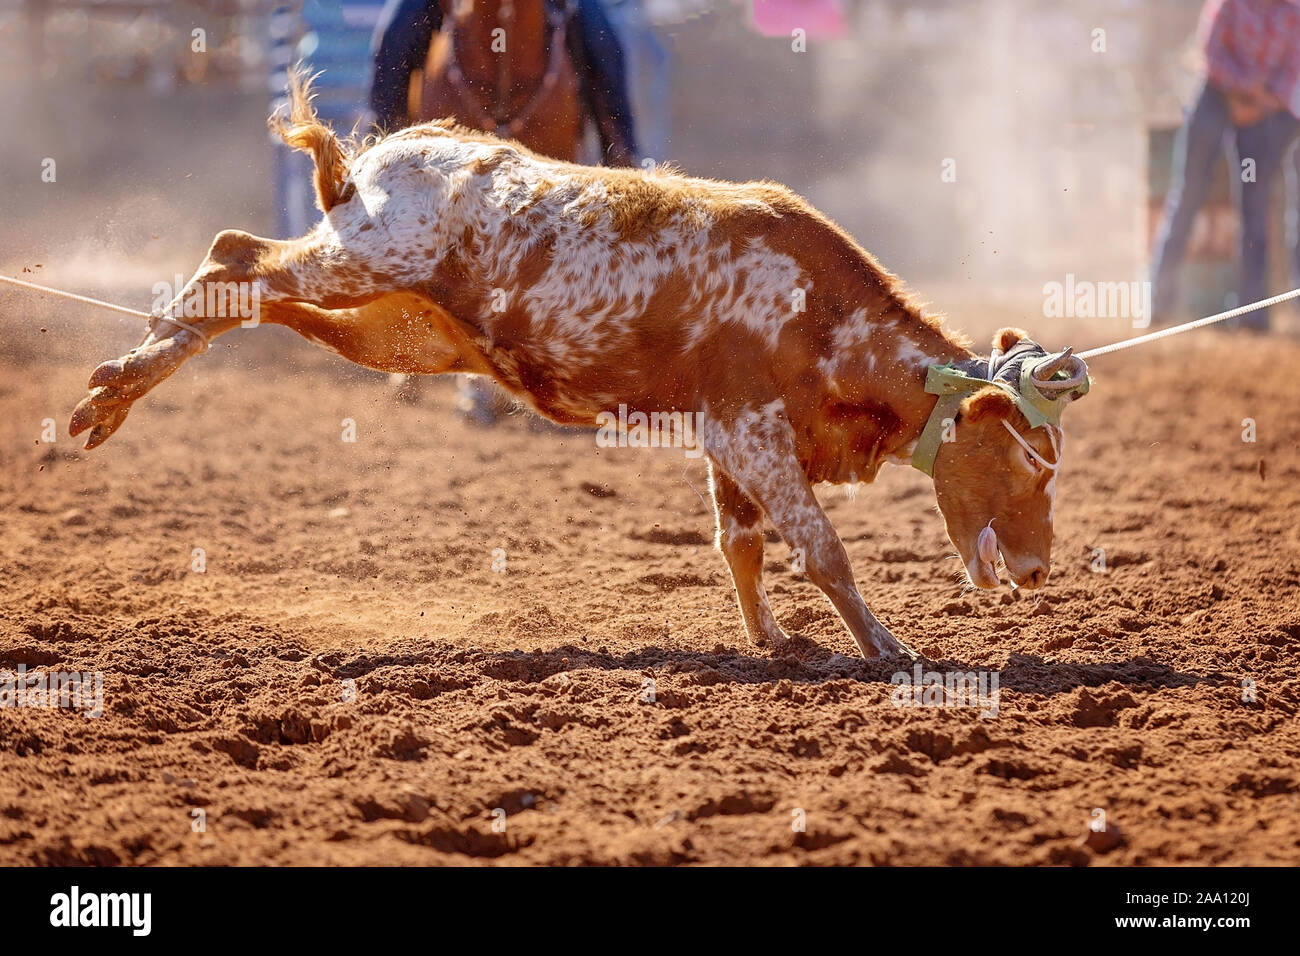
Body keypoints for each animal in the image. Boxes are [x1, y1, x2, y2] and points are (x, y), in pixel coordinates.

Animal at [71, 72, 1086, 658]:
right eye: (1030, 463)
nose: (1040, 572)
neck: (819, 315)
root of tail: (387, 155)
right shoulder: (754, 435)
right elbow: (822, 546)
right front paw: (885, 647)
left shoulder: (727, 439)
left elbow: (742, 542)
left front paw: (772, 638)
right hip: (361, 260)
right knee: (233, 257)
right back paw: (112, 390)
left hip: (397, 328)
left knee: (256, 301)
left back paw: (121, 387)